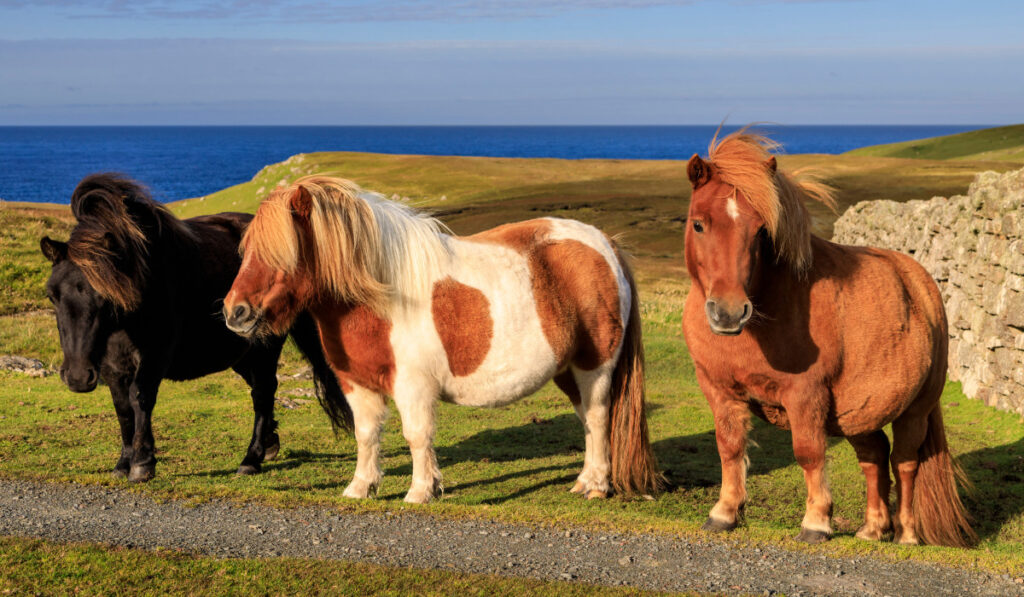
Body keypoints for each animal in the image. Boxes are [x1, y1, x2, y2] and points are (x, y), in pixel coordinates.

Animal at [40, 173, 352, 481]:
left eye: (104, 298)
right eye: (52, 295)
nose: (78, 377)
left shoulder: (155, 356)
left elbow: (140, 398)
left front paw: (142, 464)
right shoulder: (110, 366)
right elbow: (123, 409)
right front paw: (122, 463)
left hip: (264, 345)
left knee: (263, 391)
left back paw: (251, 459)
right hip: (240, 353)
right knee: (261, 388)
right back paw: (269, 445)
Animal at [222, 175, 663, 501]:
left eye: (283, 252)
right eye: (248, 250)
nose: (234, 312)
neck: (381, 299)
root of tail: (606, 244)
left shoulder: (413, 386)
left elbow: (417, 436)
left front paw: (420, 491)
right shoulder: (358, 385)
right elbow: (367, 435)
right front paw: (360, 488)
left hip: (595, 367)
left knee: (599, 417)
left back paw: (597, 487)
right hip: (568, 370)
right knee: (587, 421)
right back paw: (585, 480)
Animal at [679, 129, 974, 544]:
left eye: (760, 231)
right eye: (698, 224)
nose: (729, 311)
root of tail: (922, 283)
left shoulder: (806, 395)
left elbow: (809, 453)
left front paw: (816, 521)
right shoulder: (720, 390)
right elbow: (729, 447)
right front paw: (724, 512)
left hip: (915, 410)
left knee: (904, 462)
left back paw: (906, 534)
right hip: (858, 411)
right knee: (874, 457)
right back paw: (872, 528)